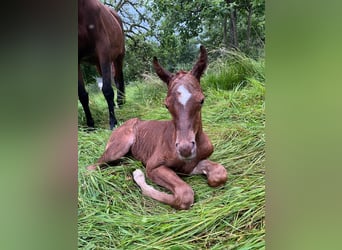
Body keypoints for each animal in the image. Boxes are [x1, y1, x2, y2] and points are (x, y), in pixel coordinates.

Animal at [78, 0, 125, 129]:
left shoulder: (103, 50)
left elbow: (107, 90)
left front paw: (113, 122)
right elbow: (82, 95)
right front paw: (90, 125)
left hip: (119, 56)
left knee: (119, 78)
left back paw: (121, 102)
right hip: (99, 64)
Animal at [88, 45, 227, 209]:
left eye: (202, 100)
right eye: (166, 105)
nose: (185, 149)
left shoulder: (193, 164)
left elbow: (220, 173)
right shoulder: (153, 166)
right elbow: (184, 195)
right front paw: (138, 176)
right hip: (118, 147)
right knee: (92, 167)